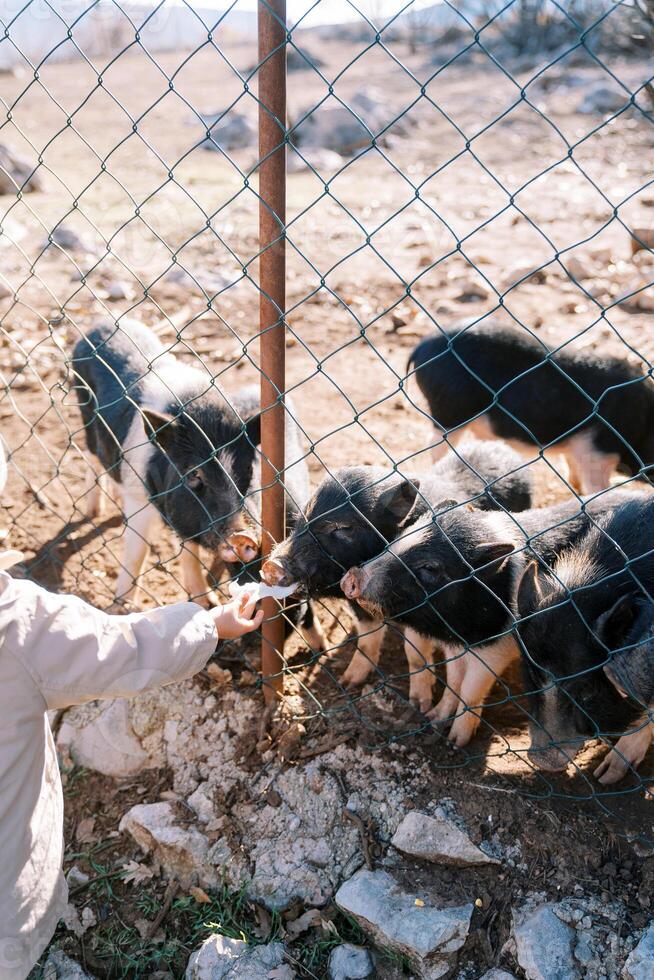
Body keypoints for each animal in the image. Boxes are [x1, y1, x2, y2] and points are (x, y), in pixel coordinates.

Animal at [71, 320, 310, 604]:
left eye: (246, 470)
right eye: (195, 474)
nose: (243, 537)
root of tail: (98, 325)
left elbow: (189, 551)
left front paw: (207, 602)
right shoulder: (139, 497)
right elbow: (137, 550)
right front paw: (123, 604)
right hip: (84, 411)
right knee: (92, 456)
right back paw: (93, 512)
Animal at [262, 440, 532, 708]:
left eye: (343, 527)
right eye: (302, 517)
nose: (271, 566)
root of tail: (500, 446)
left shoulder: (420, 607)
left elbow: (413, 653)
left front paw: (419, 705)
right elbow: (366, 640)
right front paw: (347, 683)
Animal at [340, 486, 648, 748]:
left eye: (429, 567)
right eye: (398, 539)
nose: (351, 577)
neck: (460, 631)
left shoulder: (495, 650)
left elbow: (469, 689)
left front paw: (455, 742)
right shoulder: (456, 646)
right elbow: (453, 682)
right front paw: (434, 718)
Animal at [410, 320, 654, 494]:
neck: (643, 422)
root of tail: (421, 347)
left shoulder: (579, 448)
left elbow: (573, 471)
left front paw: (575, 489)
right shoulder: (598, 449)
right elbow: (596, 485)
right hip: (450, 410)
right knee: (437, 445)